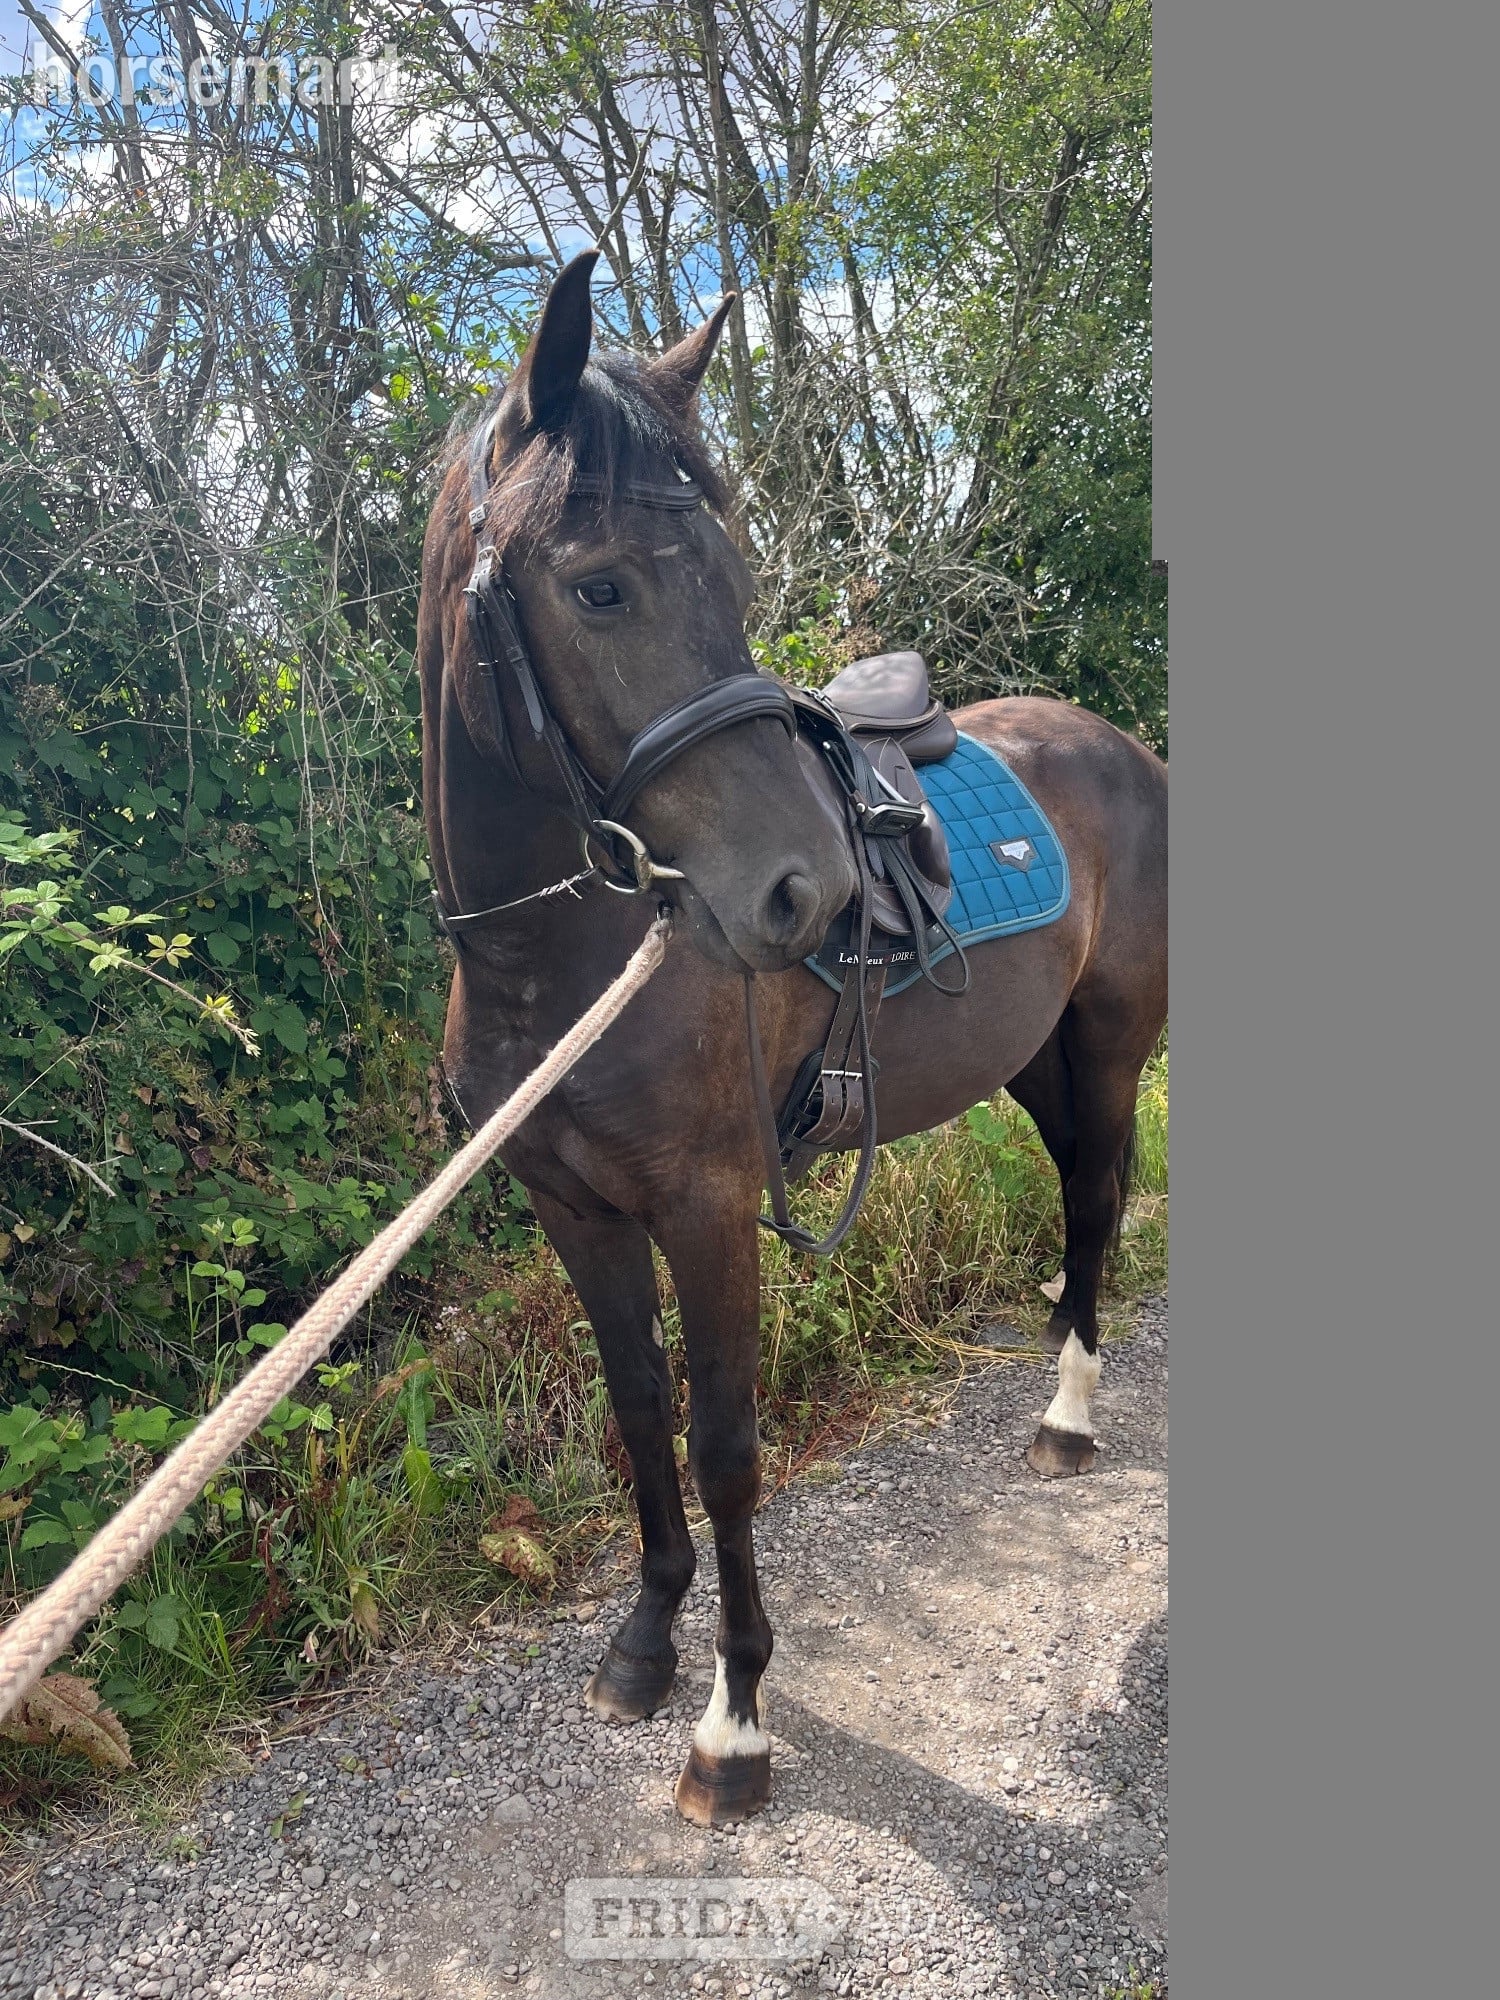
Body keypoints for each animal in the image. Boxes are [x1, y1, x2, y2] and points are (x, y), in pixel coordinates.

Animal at [418, 251, 1167, 1826]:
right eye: (600, 583)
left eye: (737, 579)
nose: (807, 889)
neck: (555, 968)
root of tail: (1121, 746)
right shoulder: (575, 1210)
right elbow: (638, 1413)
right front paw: (644, 1648)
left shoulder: (706, 1207)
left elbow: (724, 1446)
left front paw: (734, 1720)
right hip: (1033, 1064)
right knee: (1081, 1194)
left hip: (1113, 1043)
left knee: (1096, 1199)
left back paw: (1070, 1416)